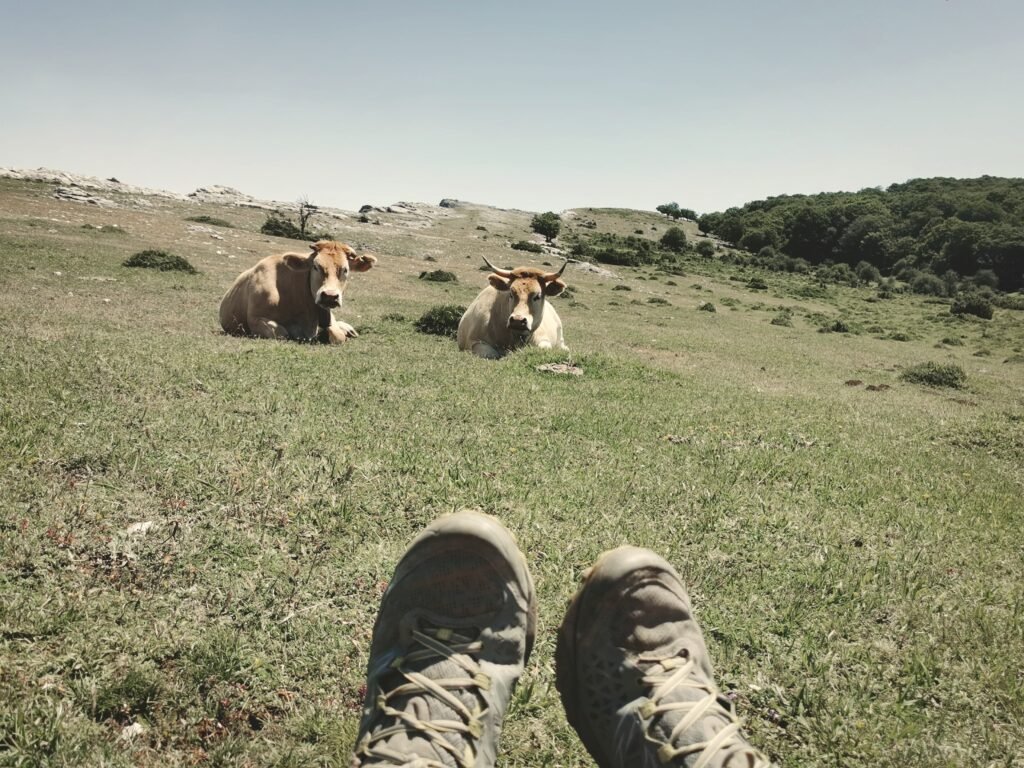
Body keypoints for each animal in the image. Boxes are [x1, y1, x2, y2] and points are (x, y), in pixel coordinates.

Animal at [219, 240, 376, 344]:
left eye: (345, 270)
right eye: (316, 266)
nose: (330, 296)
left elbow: (338, 336)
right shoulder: (255, 319)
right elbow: (282, 333)